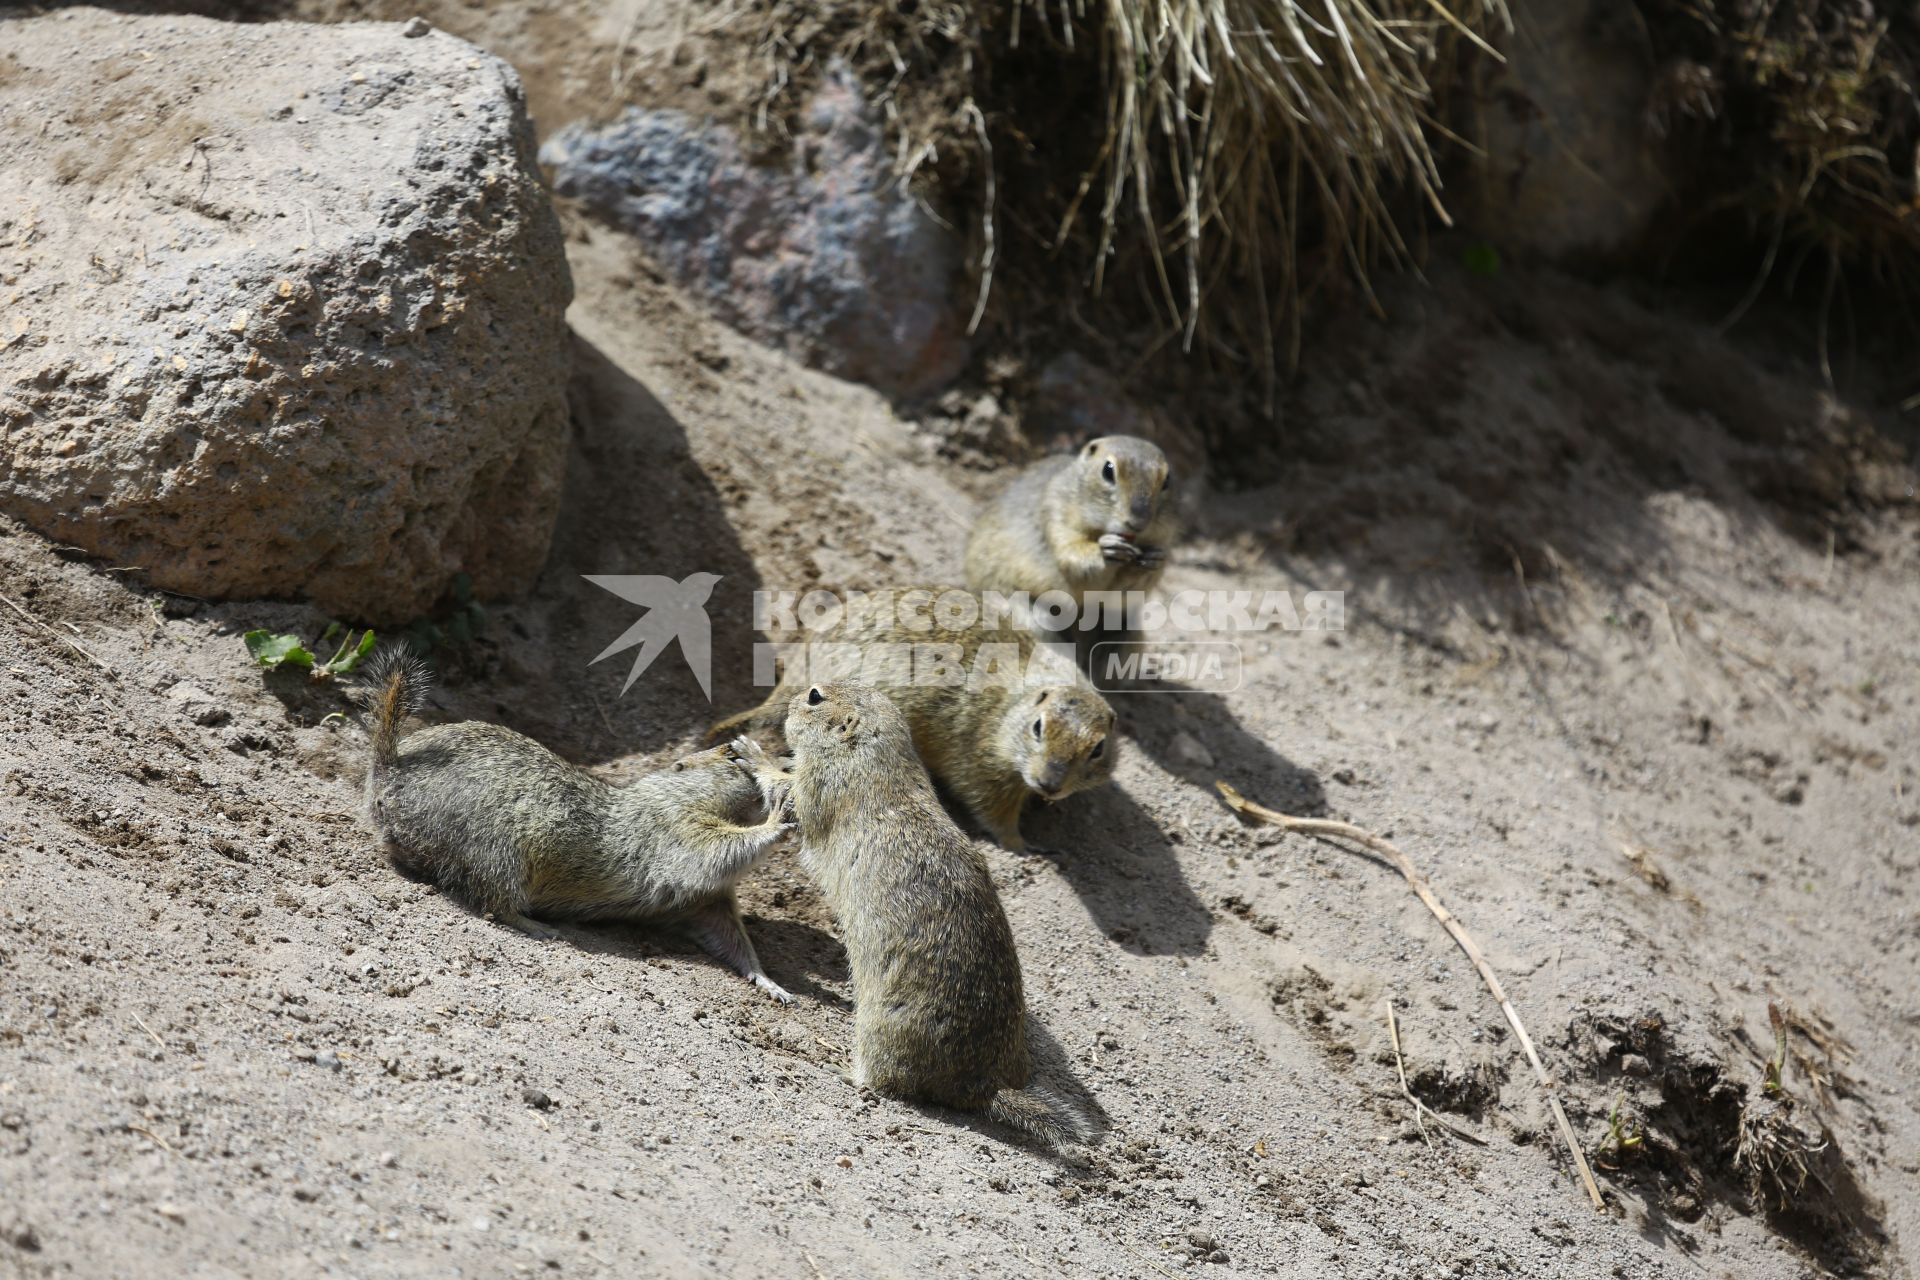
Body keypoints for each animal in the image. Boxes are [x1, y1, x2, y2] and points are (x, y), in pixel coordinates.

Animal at [360, 652, 794, 997]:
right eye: (732, 756)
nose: (790, 768)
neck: (679, 792)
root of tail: (390, 768)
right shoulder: (674, 827)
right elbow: (714, 849)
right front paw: (777, 819)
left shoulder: (710, 901)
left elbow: (730, 936)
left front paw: (769, 982)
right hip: (494, 851)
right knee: (493, 903)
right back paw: (538, 927)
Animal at [714, 587, 1121, 852]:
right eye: (1038, 728)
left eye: (1098, 749)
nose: (1049, 785)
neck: (1010, 709)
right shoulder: (980, 760)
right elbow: (993, 809)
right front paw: (1024, 844)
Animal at [783, 687, 1098, 1159]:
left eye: (815, 697)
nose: (788, 701)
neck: (873, 753)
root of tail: (983, 1085)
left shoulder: (820, 785)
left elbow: (800, 806)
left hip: (878, 1033)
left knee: (881, 1082)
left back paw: (841, 1067)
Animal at [967, 437, 1175, 617]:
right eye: (1108, 471)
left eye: (1167, 480)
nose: (1138, 523)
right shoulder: (1056, 512)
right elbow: (1072, 557)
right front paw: (1105, 550)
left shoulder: (1163, 536)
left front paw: (1153, 559)